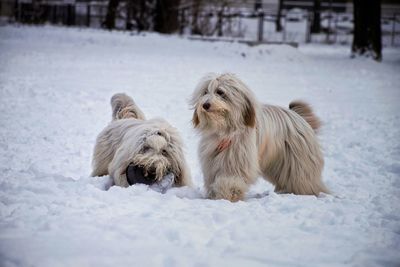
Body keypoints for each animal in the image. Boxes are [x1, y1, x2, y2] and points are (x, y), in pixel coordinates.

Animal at [191, 73, 328, 203]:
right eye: (205, 92)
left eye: (220, 92)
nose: (205, 105)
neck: (224, 129)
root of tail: (298, 117)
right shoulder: (211, 161)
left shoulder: (236, 161)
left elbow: (230, 181)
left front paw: (226, 195)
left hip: (297, 163)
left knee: (303, 180)